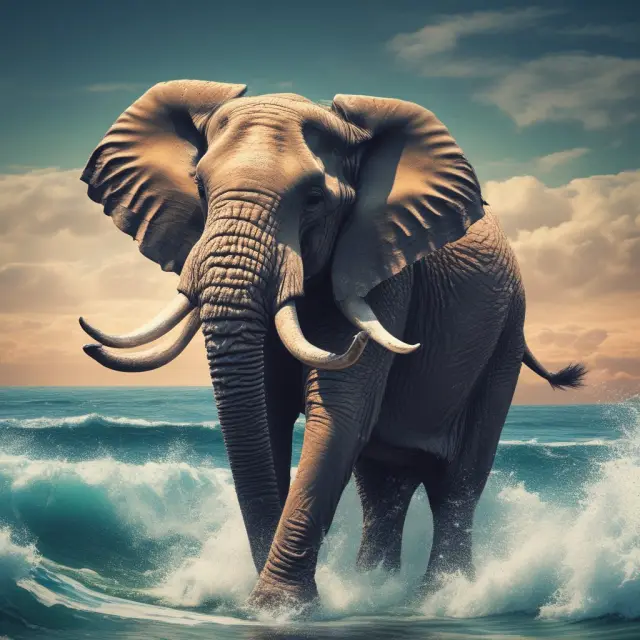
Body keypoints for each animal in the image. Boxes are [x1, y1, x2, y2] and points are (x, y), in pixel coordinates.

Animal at [77, 80, 586, 612]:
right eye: (199, 188)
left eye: (315, 198)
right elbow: (270, 414)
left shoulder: (383, 272)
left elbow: (342, 414)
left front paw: (278, 609)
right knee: (383, 483)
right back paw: (378, 589)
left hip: (507, 333)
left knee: (457, 482)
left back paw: (442, 599)